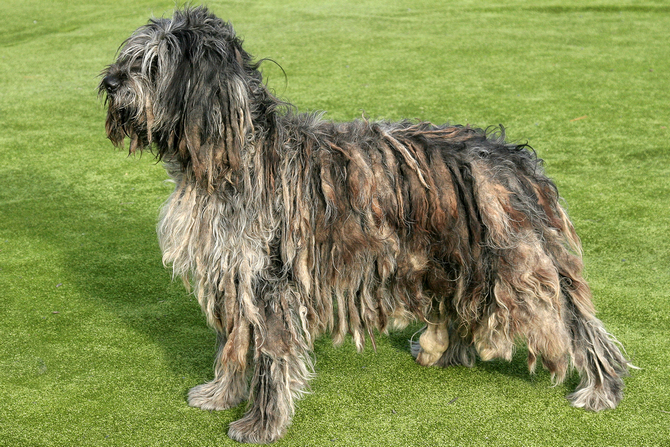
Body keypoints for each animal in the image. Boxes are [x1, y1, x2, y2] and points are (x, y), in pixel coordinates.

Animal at [98, 7, 632, 444]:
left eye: (153, 64)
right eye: (131, 57)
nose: (109, 82)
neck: (233, 157)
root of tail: (513, 158)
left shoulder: (268, 281)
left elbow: (270, 356)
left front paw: (262, 424)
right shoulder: (232, 276)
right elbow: (234, 344)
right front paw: (221, 394)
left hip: (513, 263)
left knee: (575, 321)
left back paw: (601, 388)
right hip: (456, 255)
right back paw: (442, 349)